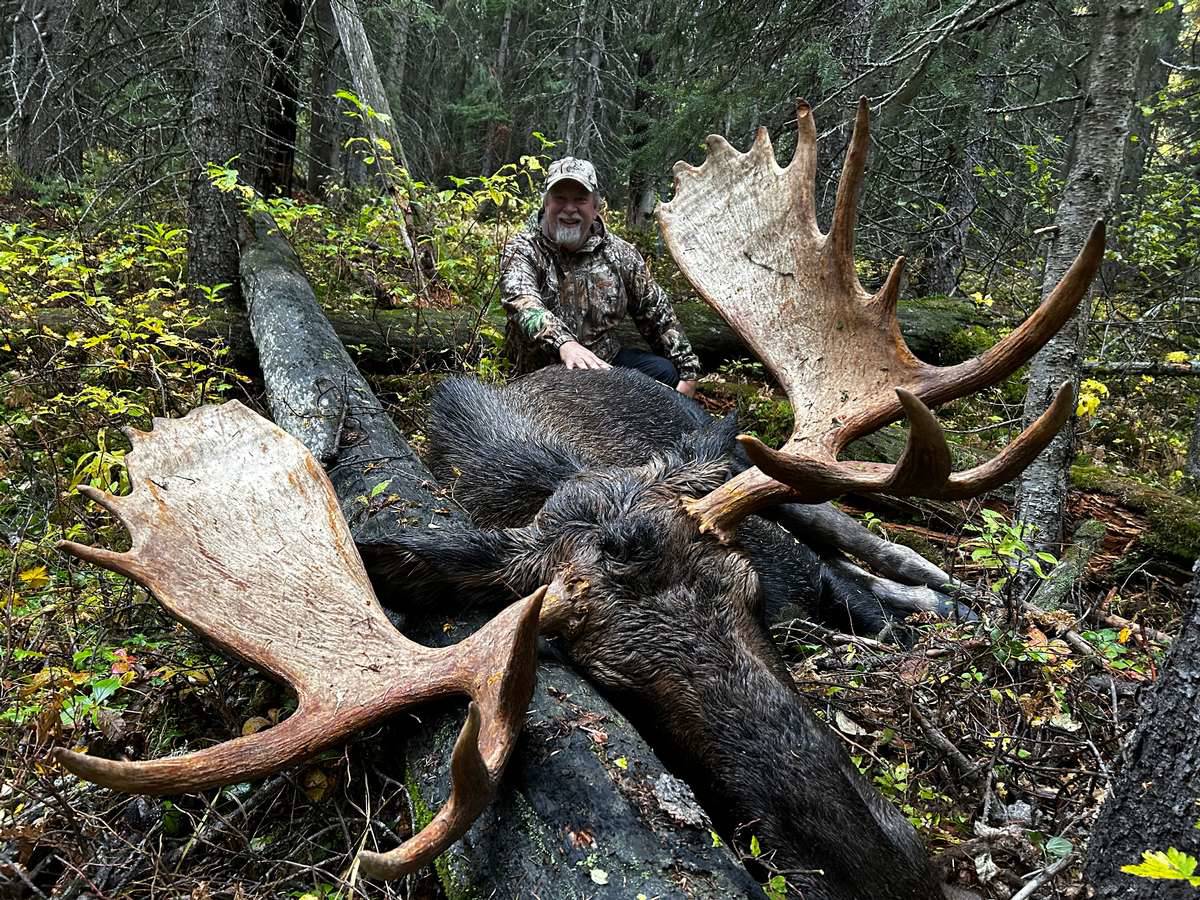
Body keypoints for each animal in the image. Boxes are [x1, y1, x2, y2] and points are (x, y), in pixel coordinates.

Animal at [52, 99, 1102, 897]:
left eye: (747, 603)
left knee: (898, 550)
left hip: (797, 484)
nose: (891, 870)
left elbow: (881, 598)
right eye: (617, 683)